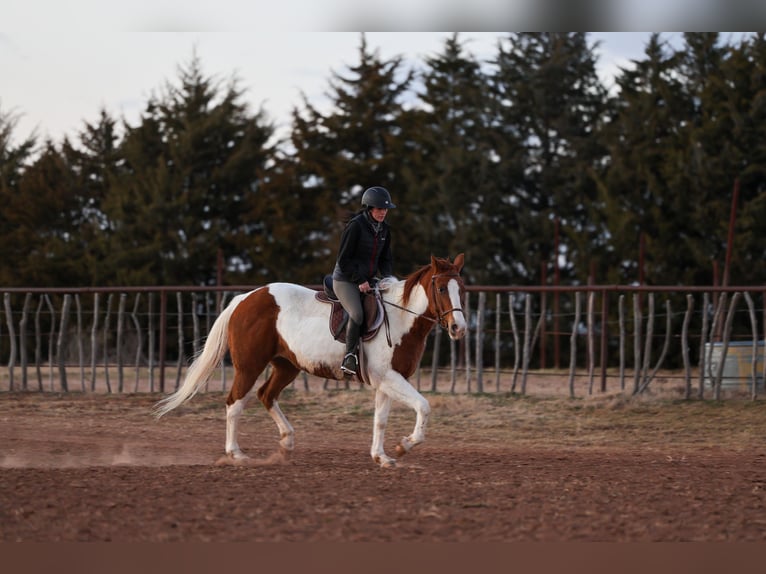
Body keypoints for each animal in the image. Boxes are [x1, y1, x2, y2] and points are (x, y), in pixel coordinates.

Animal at [154, 254, 467, 468]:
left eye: (461, 289)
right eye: (441, 289)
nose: (458, 328)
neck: (400, 316)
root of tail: (244, 298)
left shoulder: (386, 380)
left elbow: (380, 420)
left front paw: (382, 456)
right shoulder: (389, 378)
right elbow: (423, 406)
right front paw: (404, 446)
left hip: (287, 366)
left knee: (265, 395)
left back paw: (287, 441)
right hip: (249, 367)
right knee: (235, 402)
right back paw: (237, 454)